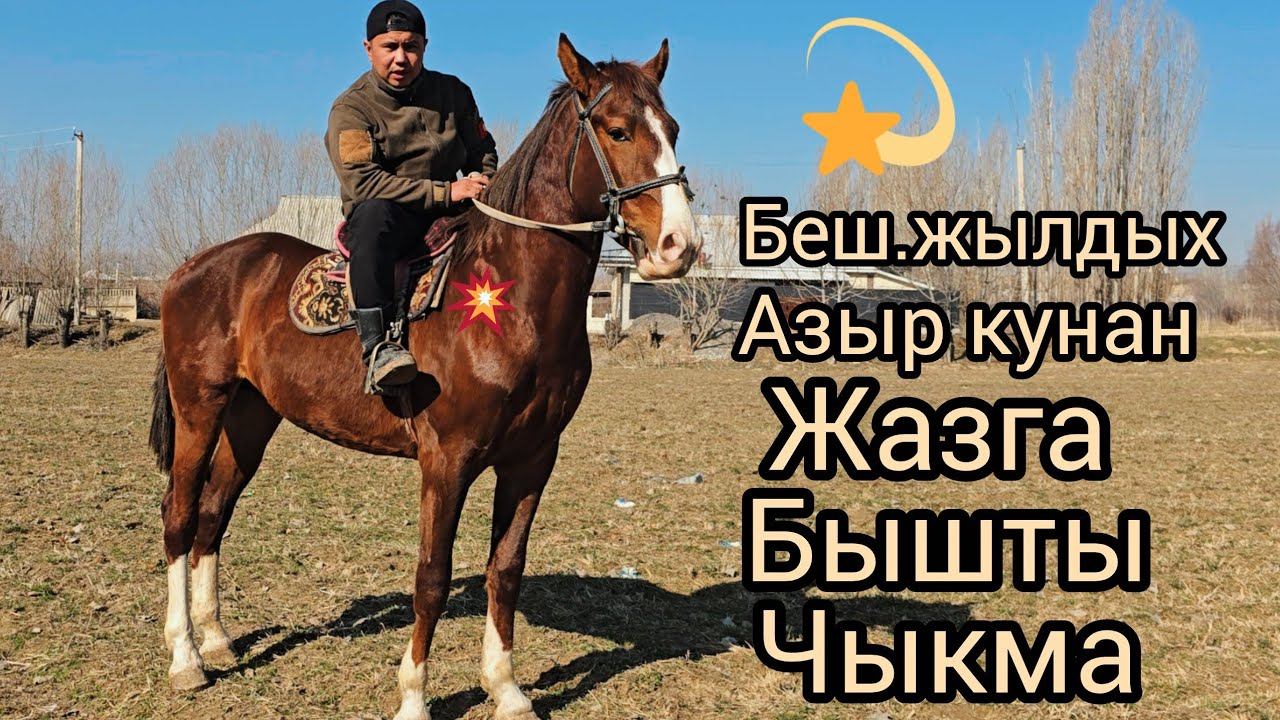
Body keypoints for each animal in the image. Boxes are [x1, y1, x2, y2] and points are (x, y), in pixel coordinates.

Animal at [149, 34, 699, 720]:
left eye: (672, 128)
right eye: (618, 129)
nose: (679, 246)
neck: (509, 303)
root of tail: (192, 268)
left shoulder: (532, 460)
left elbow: (505, 569)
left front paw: (507, 688)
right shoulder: (447, 460)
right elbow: (432, 577)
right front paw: (414, 696)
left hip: (251, 417)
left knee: (212, 514)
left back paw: (218, 638)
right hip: (199, 408)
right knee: (179, 515)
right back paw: (185, 659)